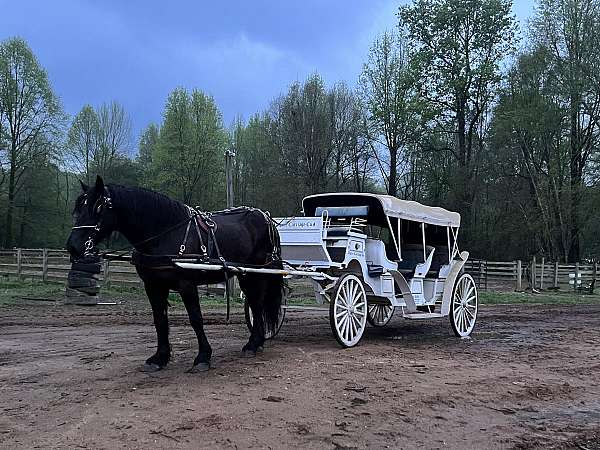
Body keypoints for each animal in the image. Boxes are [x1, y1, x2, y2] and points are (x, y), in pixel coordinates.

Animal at [67, 176, 282, 372]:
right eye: (78, 208)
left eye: (98, 208)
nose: (73, 247)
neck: (166, 234)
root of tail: (265, 217)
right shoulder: (153, 286)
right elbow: (160, 321)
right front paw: (159, 358)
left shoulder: (186, 285)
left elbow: (196, 319)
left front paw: (203, 357)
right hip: (245, 274)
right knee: (256, 304)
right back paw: (256, 342)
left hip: (255, 273)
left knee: (257, 304)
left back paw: (253, 344)